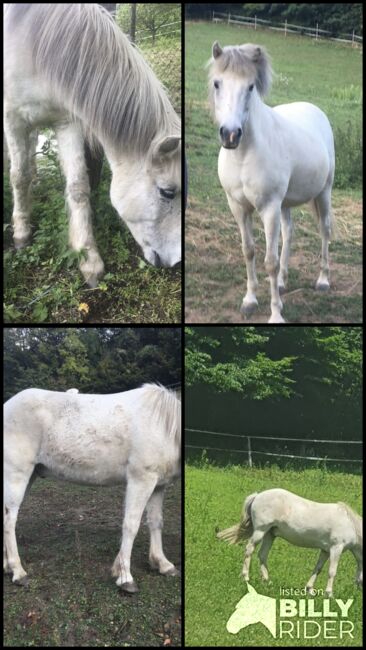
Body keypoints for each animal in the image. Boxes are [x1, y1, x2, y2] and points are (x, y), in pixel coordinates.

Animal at [2, 3, 180, 284]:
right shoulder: (13, 120)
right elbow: (19, 176)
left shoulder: (67, 123)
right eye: (168, 192)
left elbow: (78, 188)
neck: (33, 40)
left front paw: (88, 258)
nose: (176, 262)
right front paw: (21, 232)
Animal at [2, 382, 180, 588]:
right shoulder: (141, 480)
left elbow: (156, 522)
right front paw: (125, 577)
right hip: (16, 475)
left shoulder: (158, 486)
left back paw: (6, 566)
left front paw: (163, 564)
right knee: (9, 521)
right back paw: (18, 572)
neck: (164, 425)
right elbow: (131, 524)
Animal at [207, 42, 336, 322]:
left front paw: (276, 313)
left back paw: (322, 280)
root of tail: (315, 110)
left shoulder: (268, 208)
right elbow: (249, 251)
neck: (244, 155)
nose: (230, 134)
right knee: (288, 232)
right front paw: (250, 300)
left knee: (324, 230)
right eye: (217, 83)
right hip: (285, 204)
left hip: (323, 193)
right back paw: (282, 282)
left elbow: (270, 261)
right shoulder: (238, 207)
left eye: (250, 86)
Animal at [217, 486, 364, 596]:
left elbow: (318, 568)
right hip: (260, 531)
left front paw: (310, 590)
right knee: (249, 550)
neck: (350, 524)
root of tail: (258, 496)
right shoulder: (336, 548)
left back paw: (267, 581)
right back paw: (246, 577)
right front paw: (329, 594)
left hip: (270, 534)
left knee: (262, 555)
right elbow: (332, 572)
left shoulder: (325, 550)